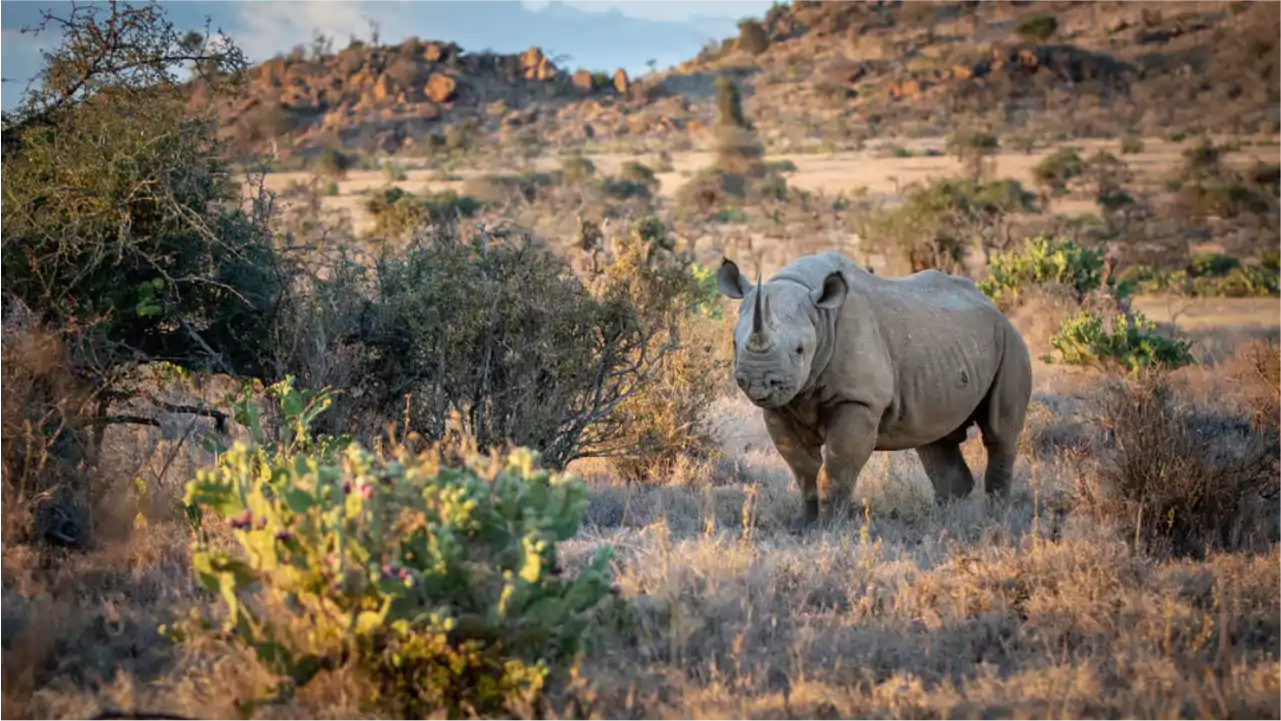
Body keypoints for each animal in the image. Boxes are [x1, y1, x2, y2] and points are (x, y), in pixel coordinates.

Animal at [716, 251, 1033, 530]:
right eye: (733, 343)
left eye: (799, 350)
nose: (757, 381)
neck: (819, 315)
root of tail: (993, 306)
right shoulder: (780, 406)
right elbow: (803, 469)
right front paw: (802, 525)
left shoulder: (858, 400)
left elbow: (837, 468)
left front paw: (828, 527)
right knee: (933, 438)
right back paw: (944, 518)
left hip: (1010, 341)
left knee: (999, 432)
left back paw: (995, 517)